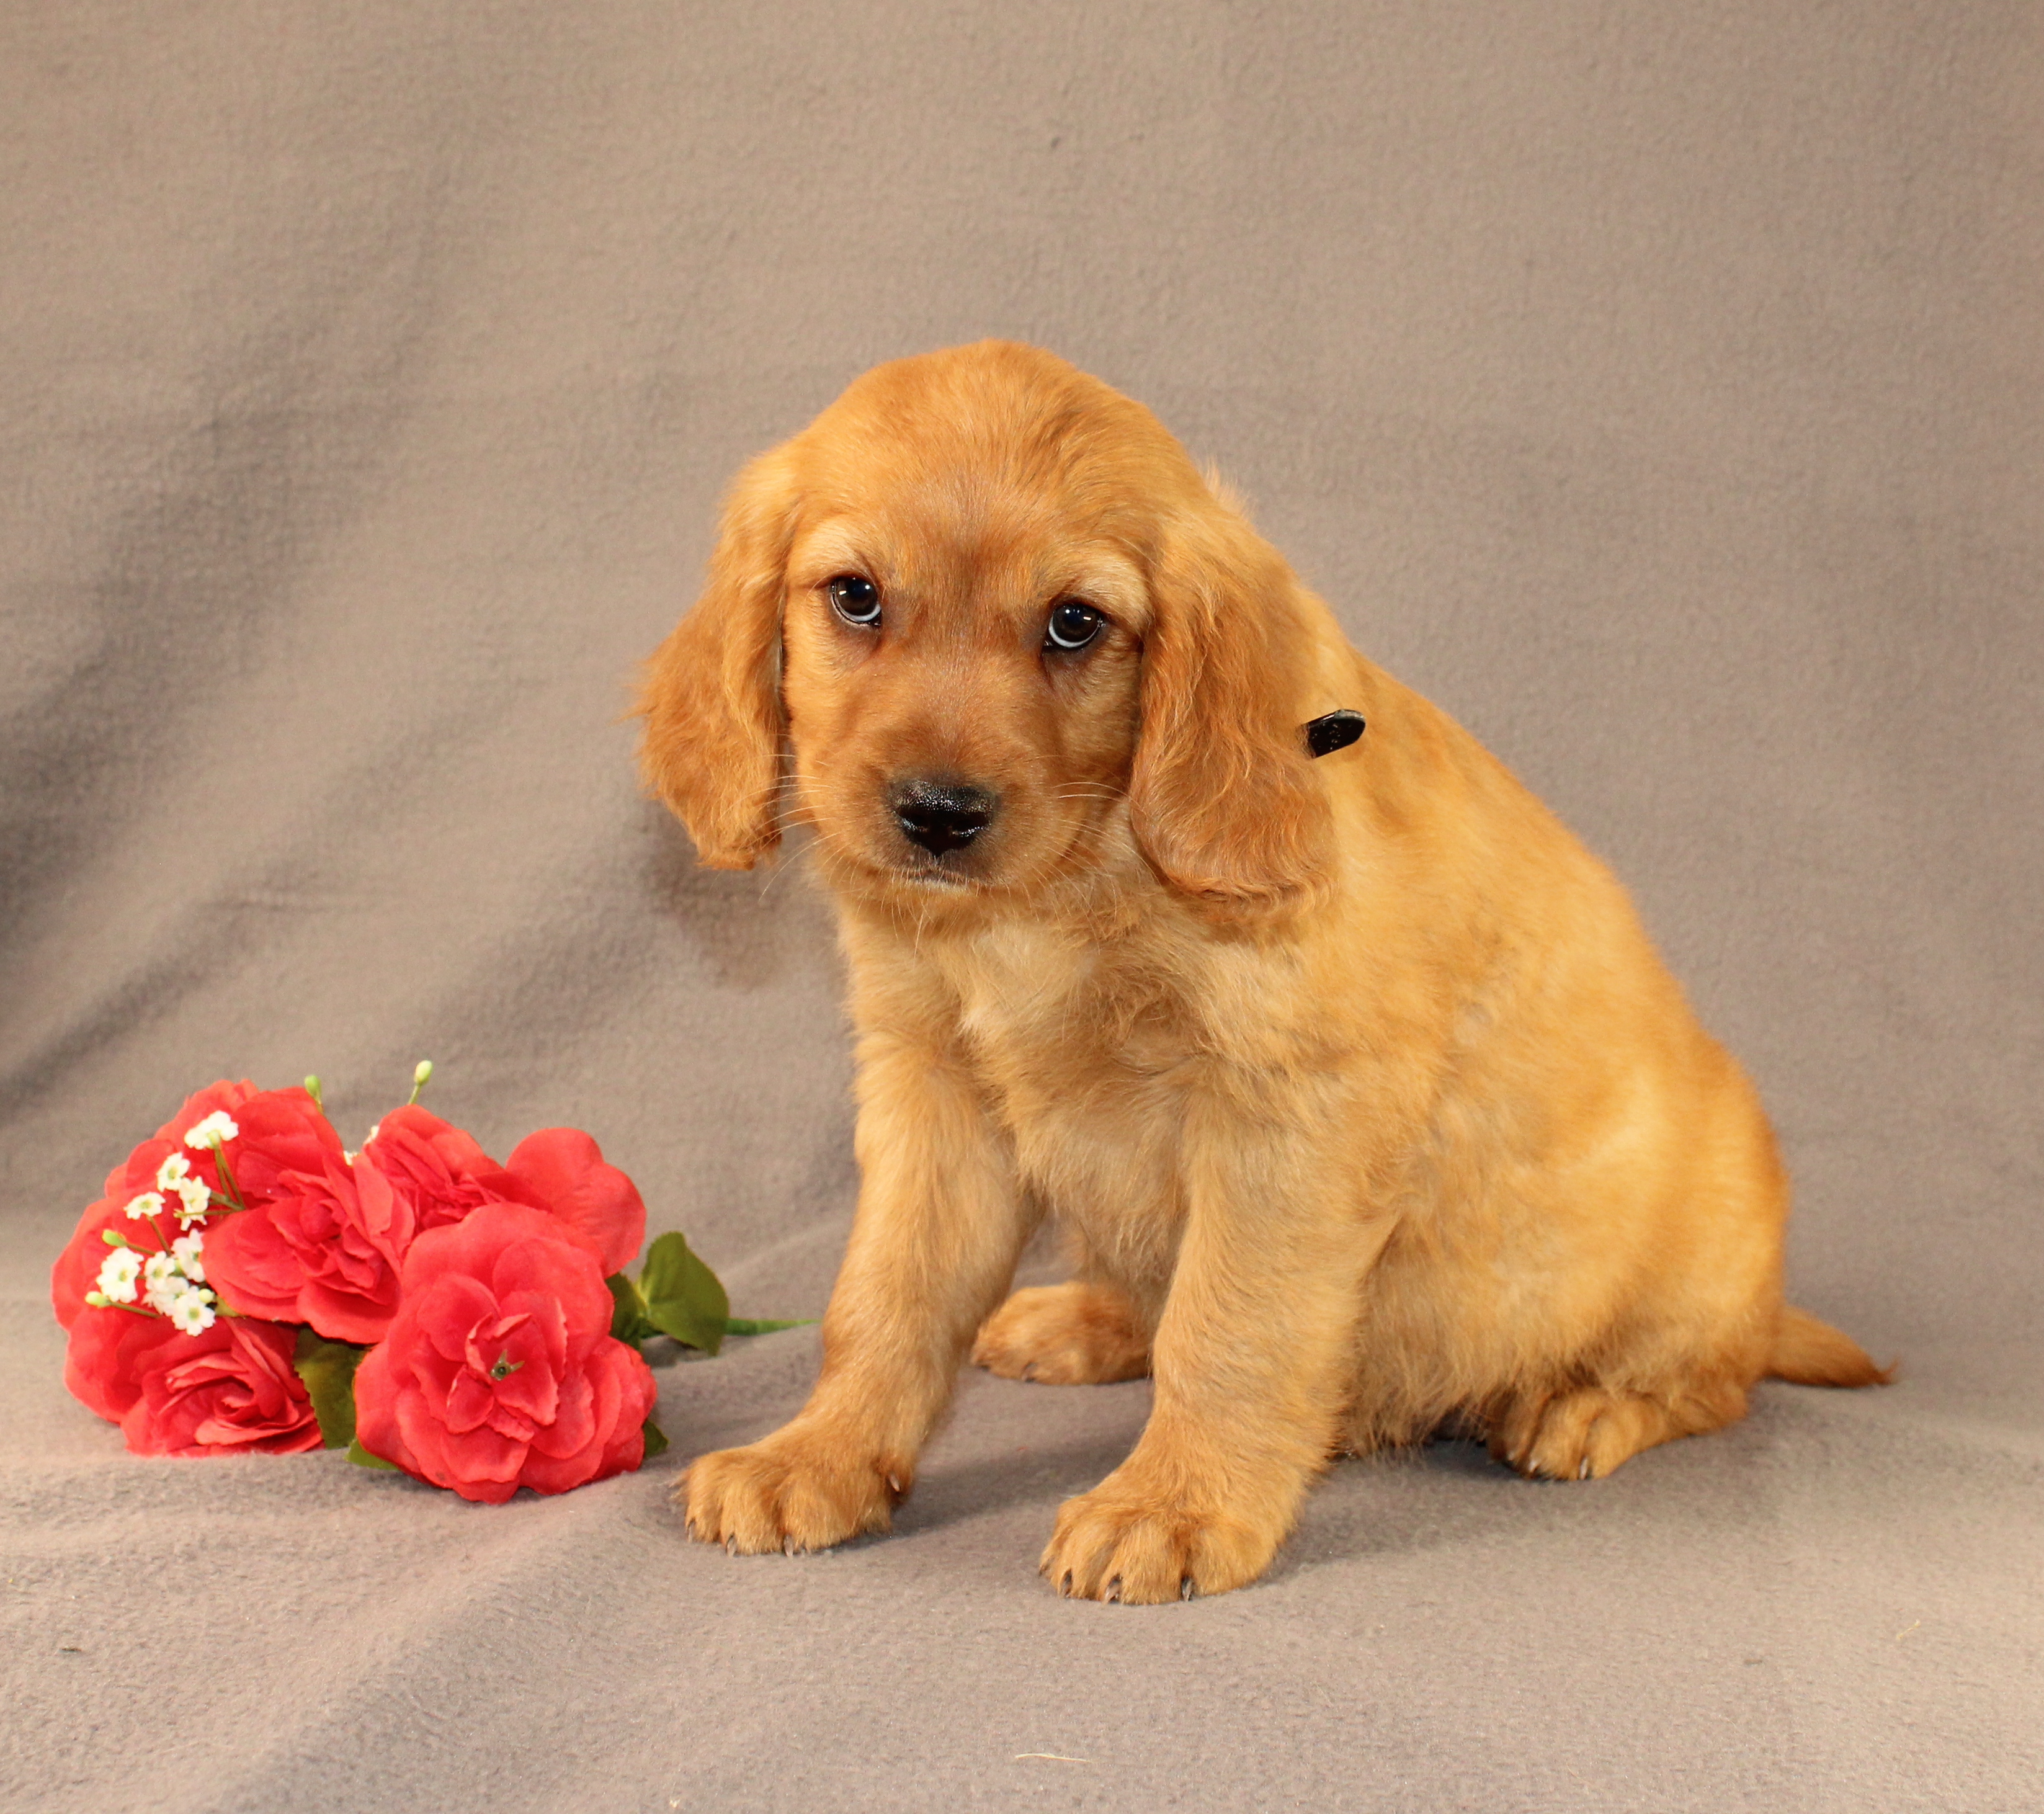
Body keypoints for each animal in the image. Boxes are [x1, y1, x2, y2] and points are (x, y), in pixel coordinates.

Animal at [638, 339, 1880, 1603]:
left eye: (1075, 623)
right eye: (856, 596)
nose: (938, 815)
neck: (1065, 889)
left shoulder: (1291, 1113)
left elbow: (1229, 1326)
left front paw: (1175, 1505)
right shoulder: (933, 1085)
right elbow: (886, 1296)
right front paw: (818, 1456)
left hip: (1700, 1255)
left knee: (1710, 1379)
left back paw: (1583, 1404)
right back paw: (1085, 1320)